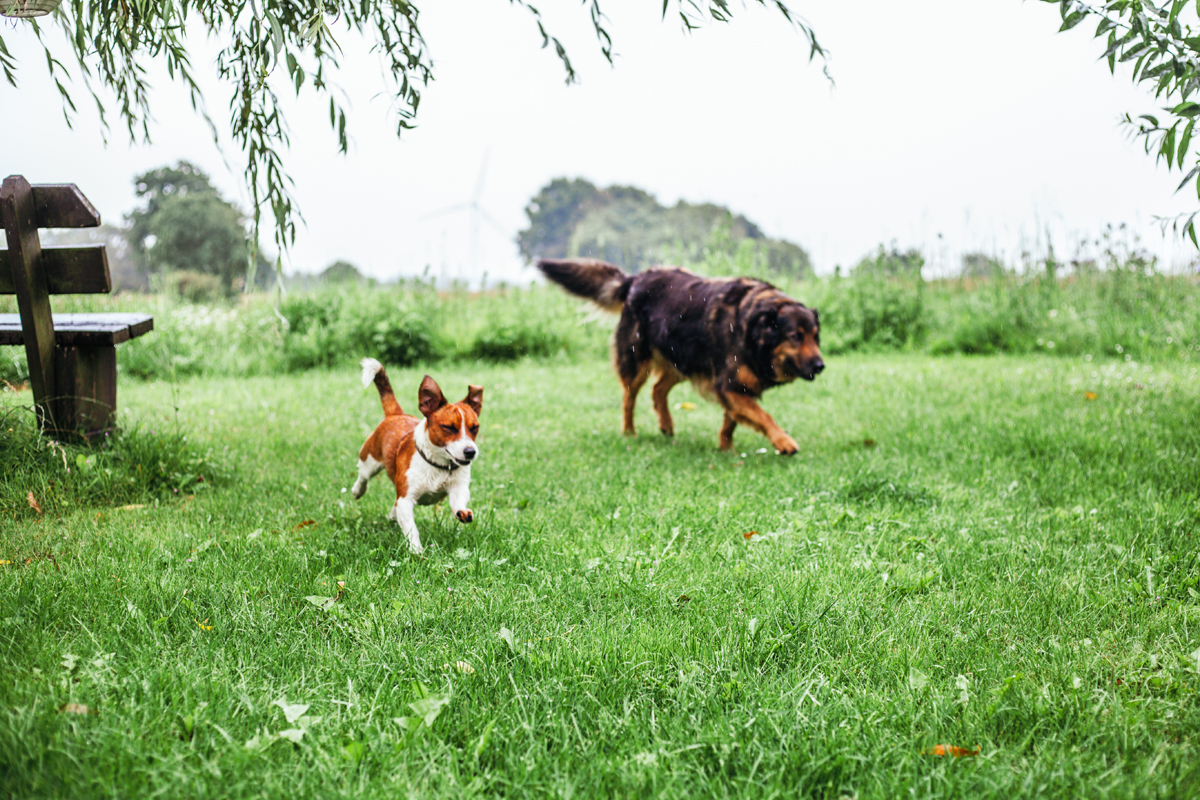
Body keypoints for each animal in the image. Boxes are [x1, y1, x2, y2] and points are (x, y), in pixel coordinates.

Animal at [348, 359, 482, 554]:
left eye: (475, 427)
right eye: (449, 427)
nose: (470, 452)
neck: (438, 465)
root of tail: (397, 414)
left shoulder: (458, 487)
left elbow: (458, 501)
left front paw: (462, 512)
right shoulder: (406, 499)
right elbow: (411, 529)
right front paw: (416, 551)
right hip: (370, 460)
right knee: (363, 476)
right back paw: (358, 490)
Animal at [540, 257, 820, 453]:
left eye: (816, 337)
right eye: (795, 337)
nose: (820, 365)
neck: (751, 325)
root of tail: (635, 279)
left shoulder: (735, 388)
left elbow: (731, 421)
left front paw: (726, 448)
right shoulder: (728, 385)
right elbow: (762, 415)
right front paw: (783, 441)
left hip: (681, 361)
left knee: (657, 390)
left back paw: (666, 424)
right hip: (637, 363)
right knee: (629, 398)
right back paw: (629, 431)